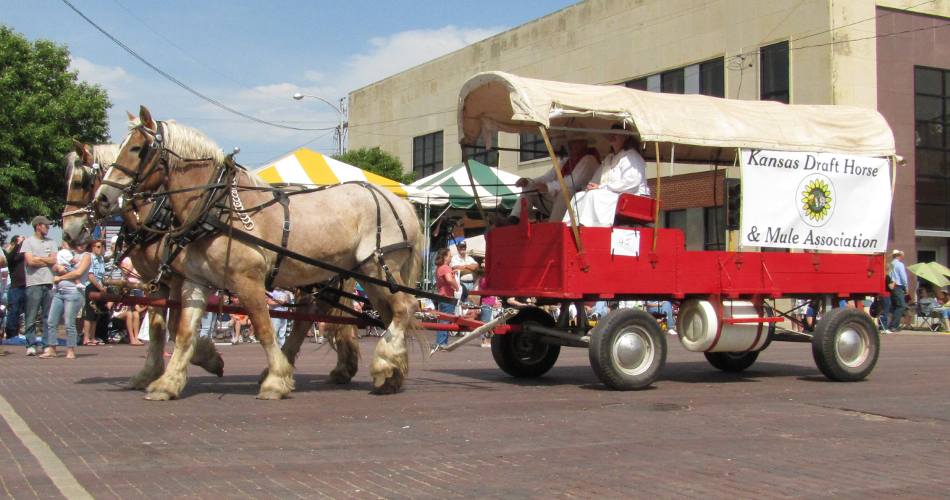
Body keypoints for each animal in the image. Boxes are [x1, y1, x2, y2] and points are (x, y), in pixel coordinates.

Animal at [64, 140, 225, 386]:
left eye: (80, 183)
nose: (67, 232)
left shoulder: (178, 279)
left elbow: (174, 327)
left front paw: (208, 357)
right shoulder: (155, 281)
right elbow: (158, 328)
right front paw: (150, 373)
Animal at [96, 106, 424, 402]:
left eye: (137, 148)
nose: (102, 198)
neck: (217, 207)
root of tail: (400, 203)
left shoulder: (247, 280)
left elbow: (264, 328)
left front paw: (276, 381)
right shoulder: (194, 281)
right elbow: (184, 332)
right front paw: (167, 383)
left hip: (379, 267)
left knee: (405, 307)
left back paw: (383, 363)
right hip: (365, 276)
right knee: (379, 314)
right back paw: (391, 374)